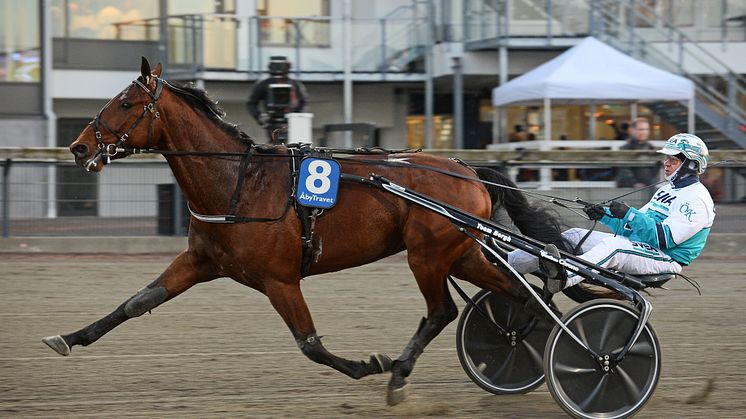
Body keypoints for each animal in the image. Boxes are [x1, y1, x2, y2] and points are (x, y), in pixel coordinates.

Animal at [43, 57, 568, 406]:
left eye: (125, 102)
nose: (78, 146)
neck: (239, 183)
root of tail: (468, 169)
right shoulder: (199, 262)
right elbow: (136, 303)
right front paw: (68, 337)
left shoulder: (279, 279)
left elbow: (310, 344)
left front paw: (367, 365)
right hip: (461, 253)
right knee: (521, 295)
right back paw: (521, 343)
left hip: (428, 255)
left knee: (442, 310)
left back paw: (399, 373)